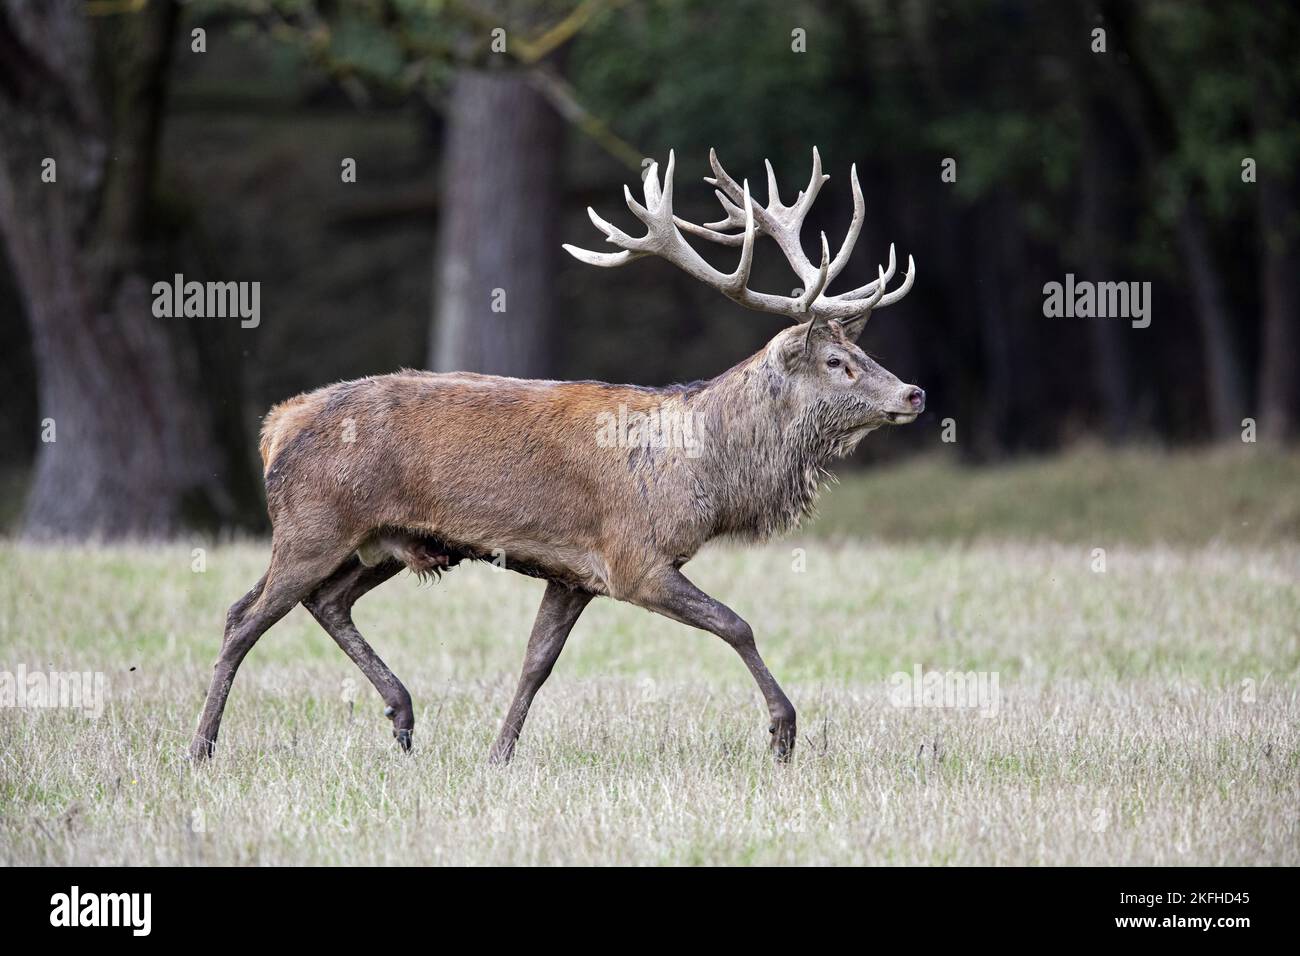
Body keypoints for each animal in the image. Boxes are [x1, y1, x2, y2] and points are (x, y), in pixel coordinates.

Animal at [189, 147, 923, 765]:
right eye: (836, 362)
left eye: (863, 351)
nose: (913, 392)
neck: (701, 475)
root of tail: (277, 424)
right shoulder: (635, 560)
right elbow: (736, 624)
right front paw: (782, 733)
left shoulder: (574, 574)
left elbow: (535, 664)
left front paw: (498, 755)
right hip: (313, 523)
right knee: (242, 617)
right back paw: (201, 748)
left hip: (380, 542)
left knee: (325, 601)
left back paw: (402, 717)